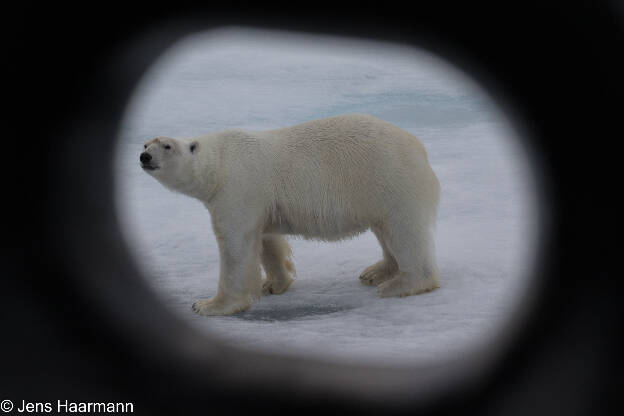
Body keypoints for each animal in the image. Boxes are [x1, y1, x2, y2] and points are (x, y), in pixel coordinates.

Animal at [140, 114, 444, 316]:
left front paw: (208, 305)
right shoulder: (259, 201)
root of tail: (419, 148)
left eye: (166, 146)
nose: (144, 157)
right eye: (145, 144)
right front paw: (274, 284)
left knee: (404, 232)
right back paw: (376, 272)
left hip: (389, 179)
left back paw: (400, 284)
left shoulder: (238, 188)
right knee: (385, 230)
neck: (220, 163)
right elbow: (267, 240)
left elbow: (236, 247)